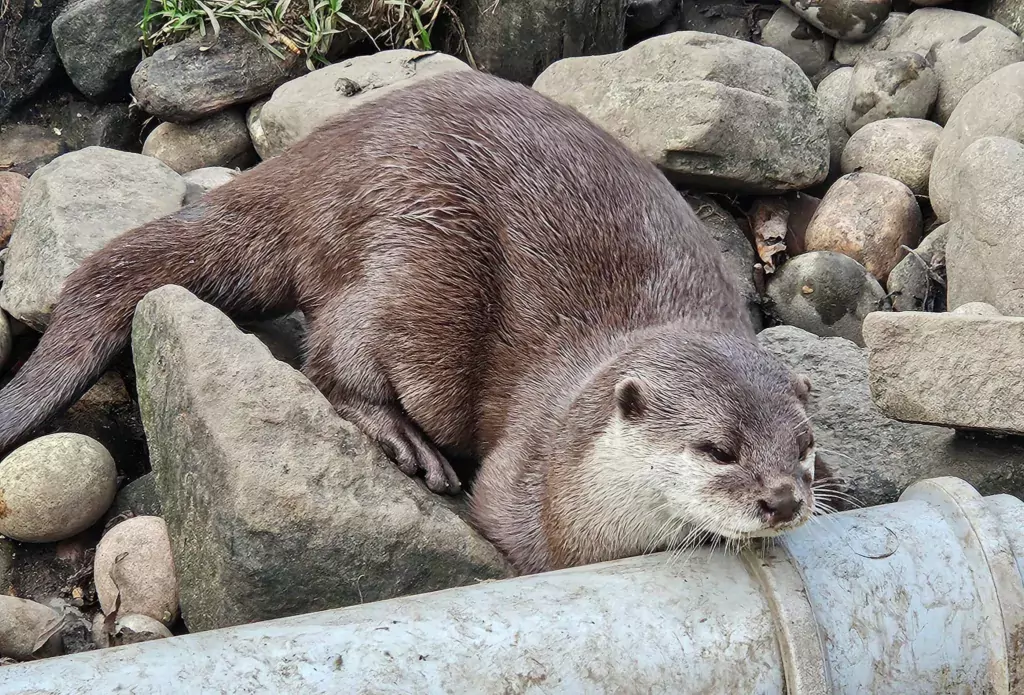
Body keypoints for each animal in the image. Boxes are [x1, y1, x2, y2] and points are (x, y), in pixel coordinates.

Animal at [0, 68, 827, 573]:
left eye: (805, 444)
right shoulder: (520, 495)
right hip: (420, 251)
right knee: (335, 351)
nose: (783, 498)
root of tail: (315, 166)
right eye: (717, 449)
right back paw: (404, 439)